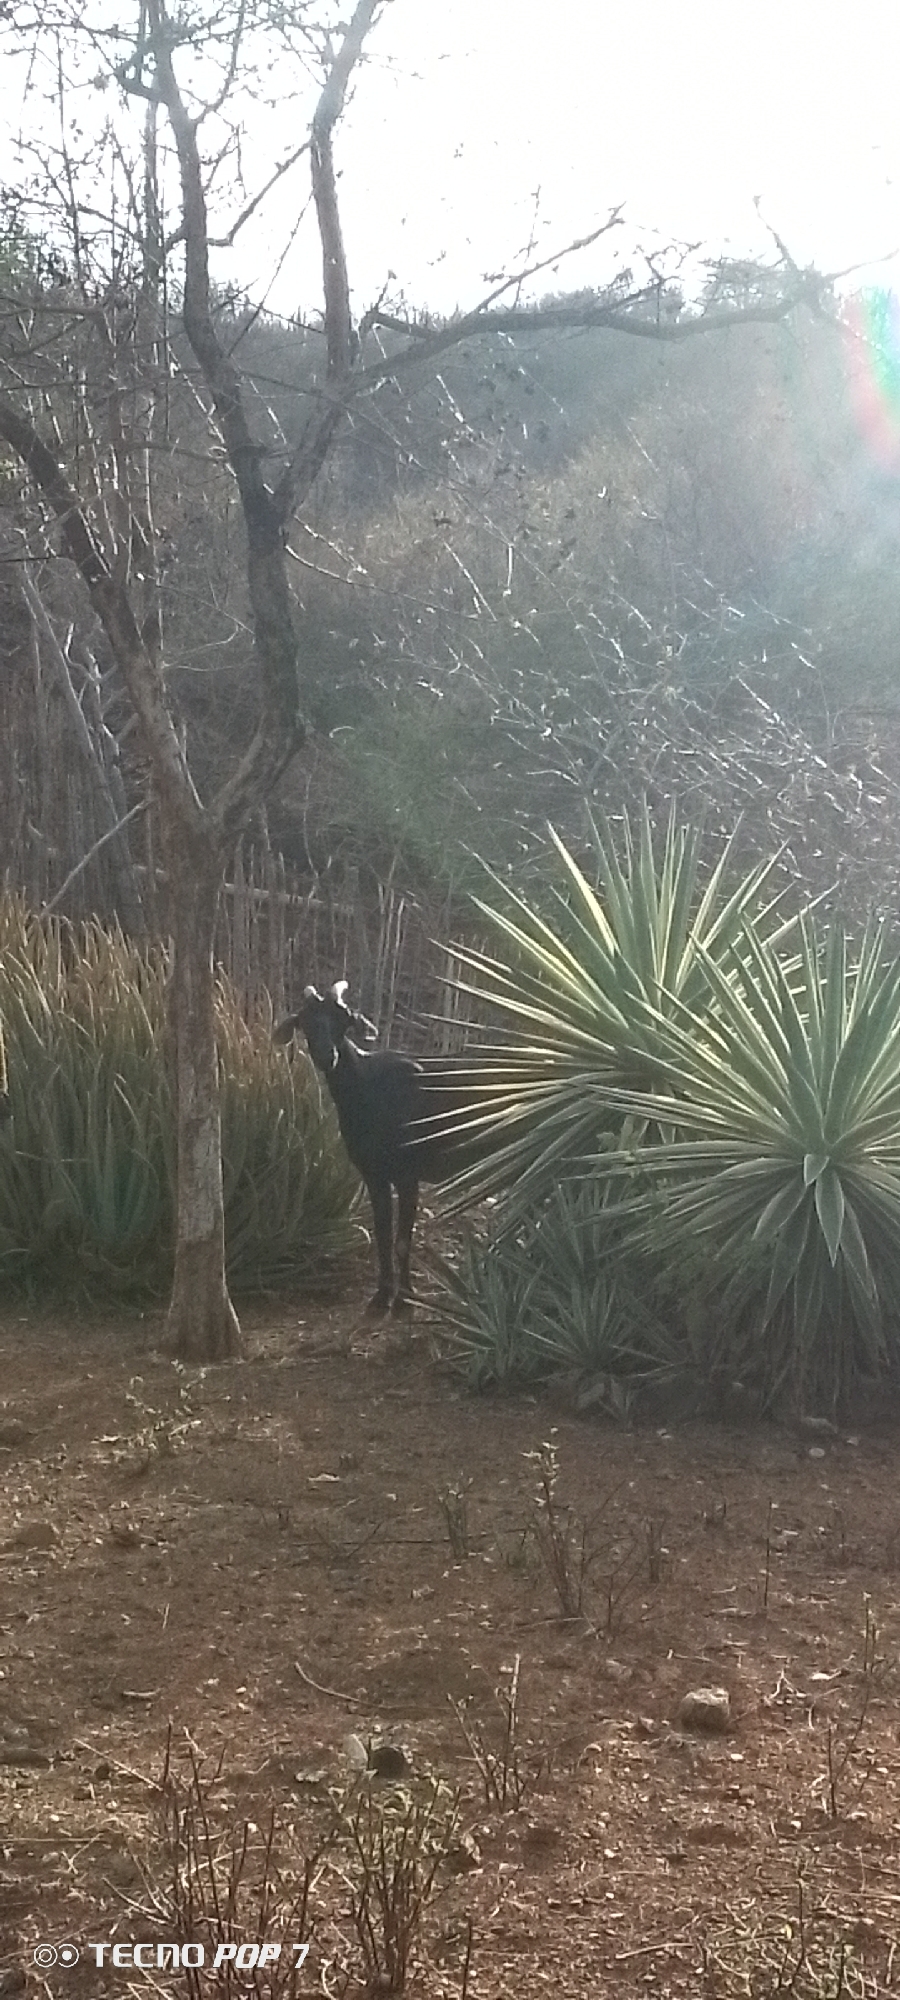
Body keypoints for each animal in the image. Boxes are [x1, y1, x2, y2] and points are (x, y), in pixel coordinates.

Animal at [274, 981, 472, 1313]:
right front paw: (381, 1297)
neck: (368, 1089)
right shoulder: (373, 1175)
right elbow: (382, 1236)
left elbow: (402, 1241)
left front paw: (404, 1299)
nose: (327, 1056)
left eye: (343, 1018)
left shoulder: (407, 1175)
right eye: (304, 1020)